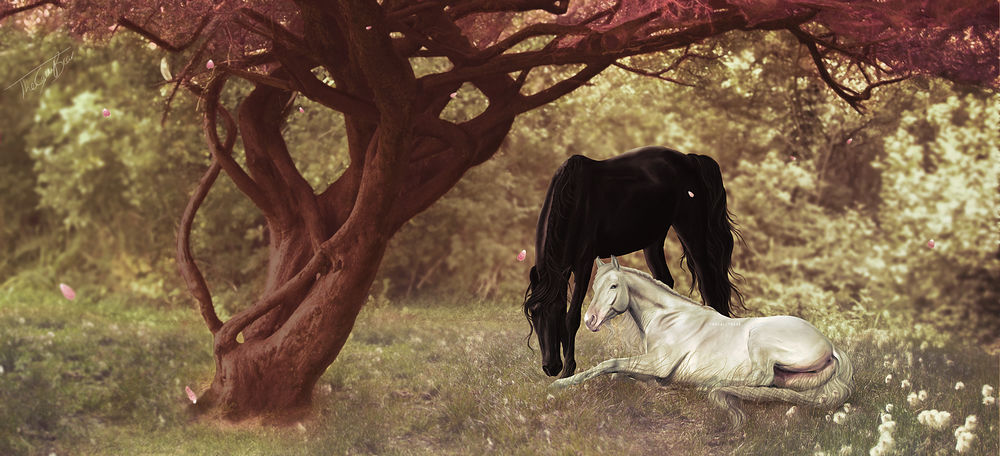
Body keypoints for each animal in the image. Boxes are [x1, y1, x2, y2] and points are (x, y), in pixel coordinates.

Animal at [523, 146, 743, 378]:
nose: (550, 367)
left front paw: (568, 371)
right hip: (653, 240)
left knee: (709, 284)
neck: (574, 200)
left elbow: (572, 318)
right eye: (533, 313)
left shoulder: (583, 263)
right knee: (665, 281)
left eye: (556, 312)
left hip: (691, 233)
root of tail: (691, 159)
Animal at [550, 257, 854, 430]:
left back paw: (712, 386)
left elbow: (608, 364)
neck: (668, 318)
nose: (589, 320)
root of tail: (830, 345)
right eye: (594, 287)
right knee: (776, 384)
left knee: (762, 377)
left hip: (760, 339)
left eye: (613, 286)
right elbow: (617, 373)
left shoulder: (658, 364)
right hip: (793, 376)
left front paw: (559, 385)